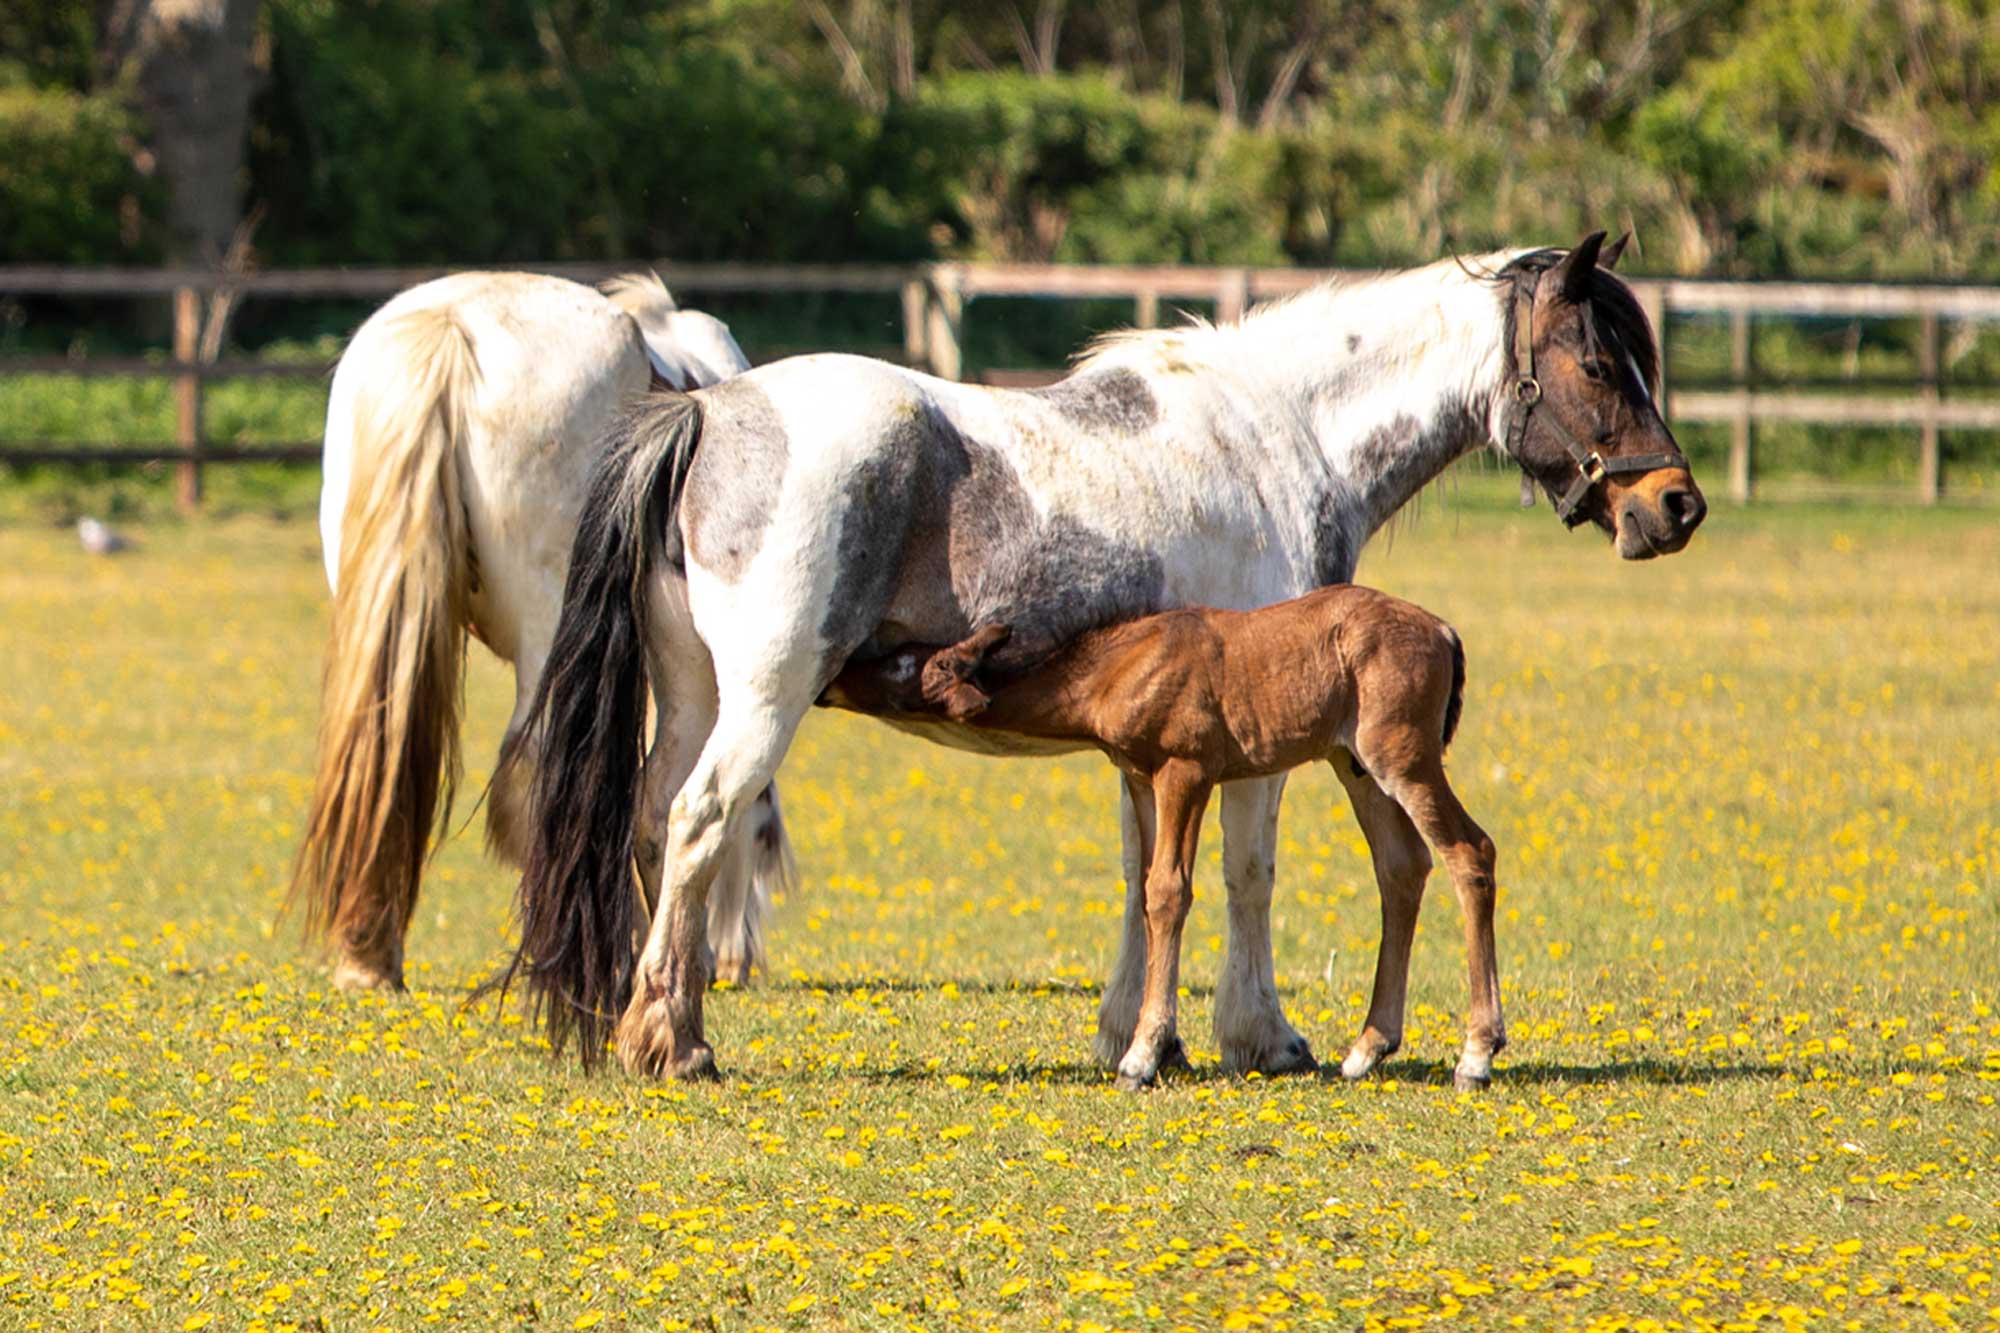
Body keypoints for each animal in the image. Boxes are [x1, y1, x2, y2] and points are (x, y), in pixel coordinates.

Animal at [500, 231, 1704, 1080]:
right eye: (1599, 362)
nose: (1675, 505)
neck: (1280, 433)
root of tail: (707, 413)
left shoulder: (1153, 744)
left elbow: (1141, 874)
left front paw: (1139, 1034)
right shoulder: (1255, 742)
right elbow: (1246, 872)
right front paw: (1257, 1035)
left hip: (694, 696)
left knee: (655, 822)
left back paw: (678, 1021)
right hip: (762, 699)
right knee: (701, 820)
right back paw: (668, 1039)